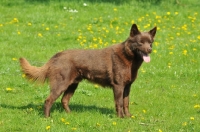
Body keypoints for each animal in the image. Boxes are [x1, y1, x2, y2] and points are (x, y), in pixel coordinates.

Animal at [19, 23, 156, 117]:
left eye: (150, 43)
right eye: (140, 43)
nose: (149, 50)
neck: (128, 57)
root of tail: (56, 56)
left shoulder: (127, 87)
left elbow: (126, 102)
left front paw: (128, 117)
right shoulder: (118, 86)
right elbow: (119, 103)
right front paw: (120, 118)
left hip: (73, 85)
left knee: (64, 100)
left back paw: (70, 115)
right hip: (61, 84)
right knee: (48, 101)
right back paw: (48, 118)